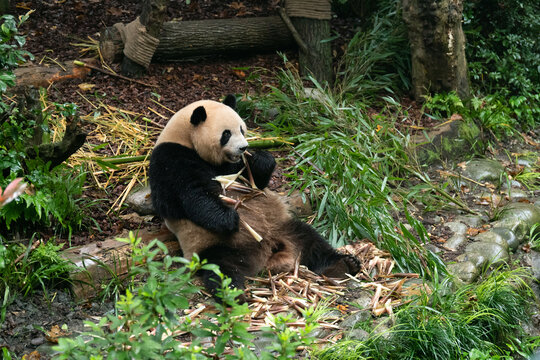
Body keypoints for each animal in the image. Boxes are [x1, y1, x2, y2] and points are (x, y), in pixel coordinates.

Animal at [149, 95, 358, 298]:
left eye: (242, 129)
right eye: (226, 134)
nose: (243, 147)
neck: (185, 139)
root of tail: (266, 251)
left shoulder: (234, 165)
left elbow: (255, 181)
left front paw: (261, 159)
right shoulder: (170, 159)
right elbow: (192, 195)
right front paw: (230, 218)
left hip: (284, 227)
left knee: (312, 242)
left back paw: (345, 264)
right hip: (215, 244)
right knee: (221, 267)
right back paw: (232, 292)